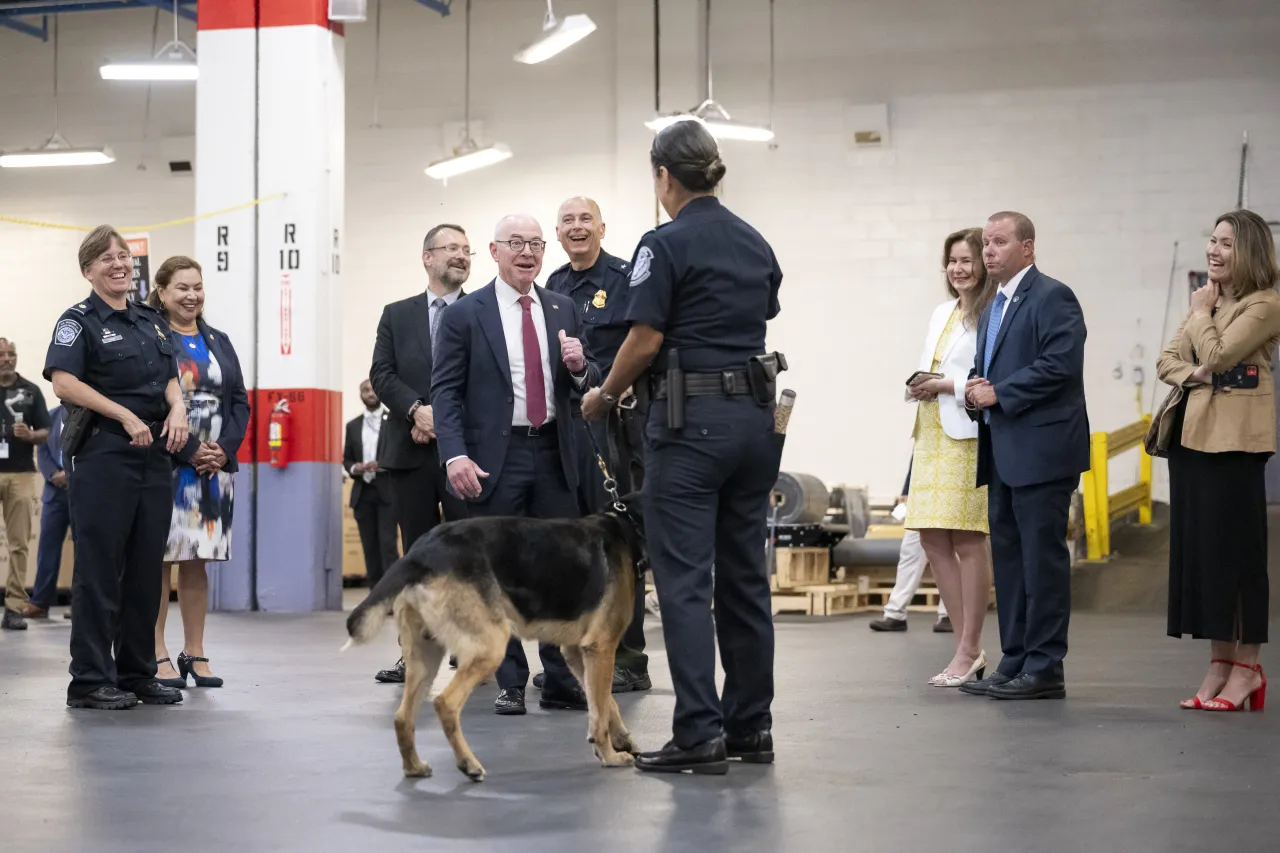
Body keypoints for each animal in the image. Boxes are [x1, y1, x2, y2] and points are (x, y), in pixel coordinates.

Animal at [340, 491, 645, 778]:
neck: (627, 522)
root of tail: (420, 553)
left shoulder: (579, 652)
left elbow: (605, 703)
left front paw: (621, 740)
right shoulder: (601, 647)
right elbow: (602, 707)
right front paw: (610, 755)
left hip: (425, 658)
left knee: (403, 717)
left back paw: (414, 767)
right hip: (489, 648)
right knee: (445, 703)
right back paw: (469, 765)